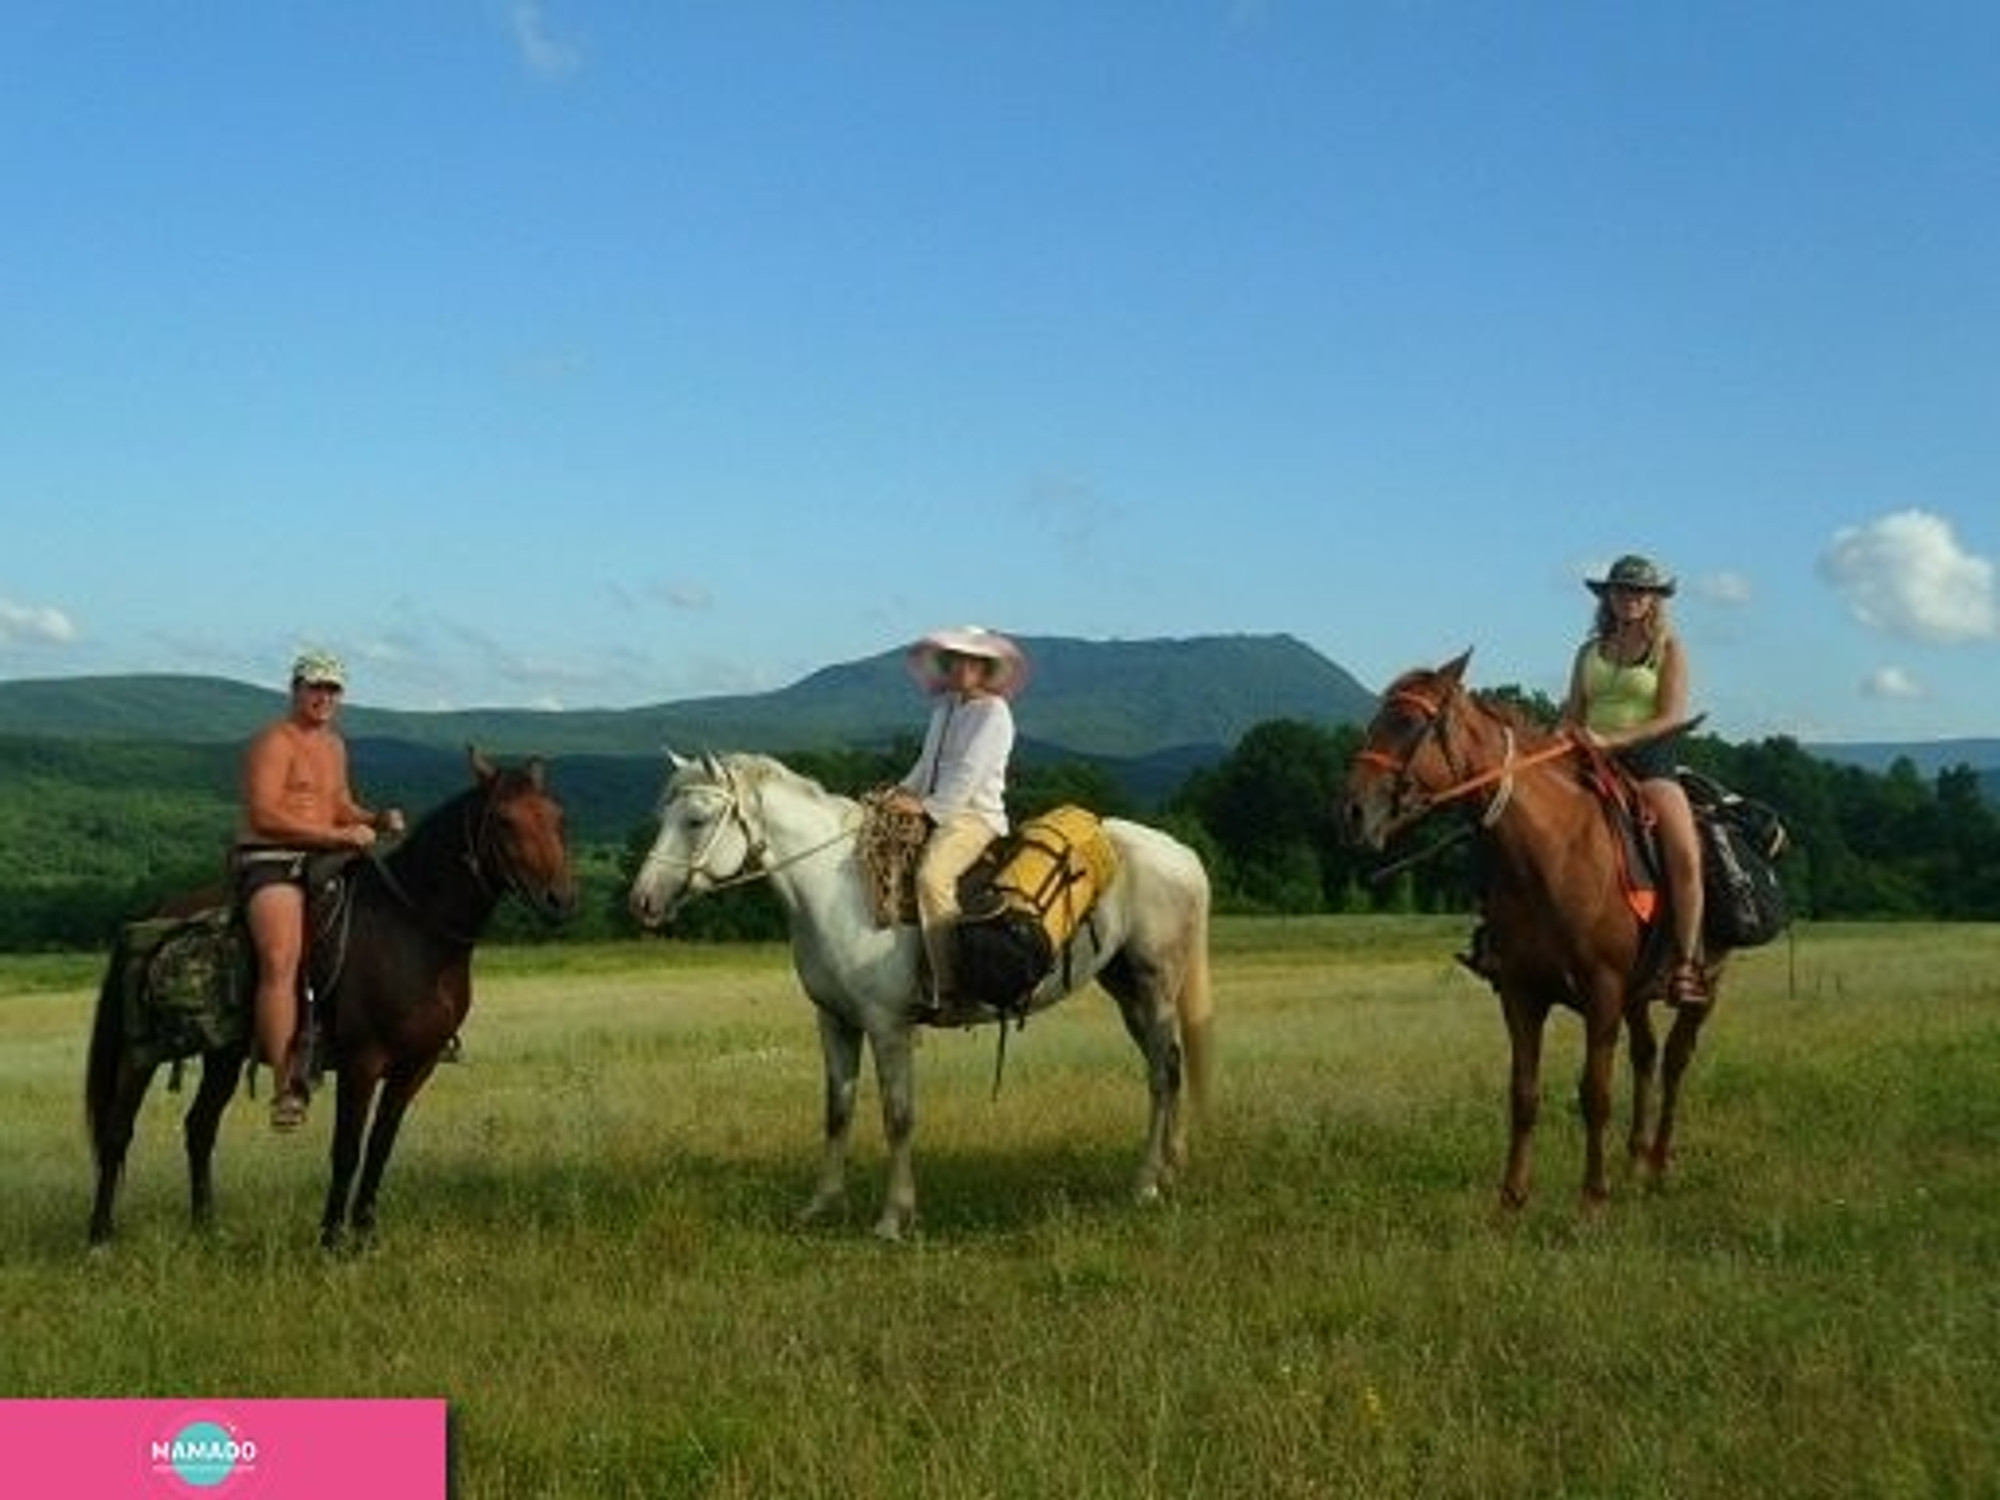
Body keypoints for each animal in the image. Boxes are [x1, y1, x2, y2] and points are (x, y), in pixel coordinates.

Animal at [90, 752, 576, 1256]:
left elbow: (380, 1146)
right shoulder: (362, 1062)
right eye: (504, 820)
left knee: (200, 1127)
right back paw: (101, 1238)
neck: (415, 929)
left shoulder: (415, 1066)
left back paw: (206, 1228)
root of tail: (157, 912)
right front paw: (331, 1240)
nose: (559, 899)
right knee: (117, 1133)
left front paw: (365, 1233)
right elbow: (346, 1150)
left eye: (557, 817)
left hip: (223, 1055)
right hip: (141, 1054)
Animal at [628, 752, 1216, 1248]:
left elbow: (898, 1116)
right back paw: (1170, 1169)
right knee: (1169, 1070)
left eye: (696, 820)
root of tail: (1182, 855)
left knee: (1162, 1076)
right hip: (1127, 991)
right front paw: (821, 1204)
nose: (642, 901)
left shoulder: (887, 1026)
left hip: (1155, 988)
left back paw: (1145, 1184)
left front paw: (894, 1217)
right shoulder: (835, 1022)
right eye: (664, 814)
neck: (837, 892)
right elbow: (837, 1111)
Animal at [1344, 652, 1720, 1216]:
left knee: (1676, 1060)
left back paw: (1656, 1165)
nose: (1351, 811)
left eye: (1409, 723)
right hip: (1636, 994)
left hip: (1703, 984)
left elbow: (1594, 1094)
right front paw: (1511, 1200)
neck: (1554, 851)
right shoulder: (1522, 992)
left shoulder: (1602, 991)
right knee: (1647, 1055)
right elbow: (1523, 1094)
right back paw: (1635, 1162)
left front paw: (1592, 1198)